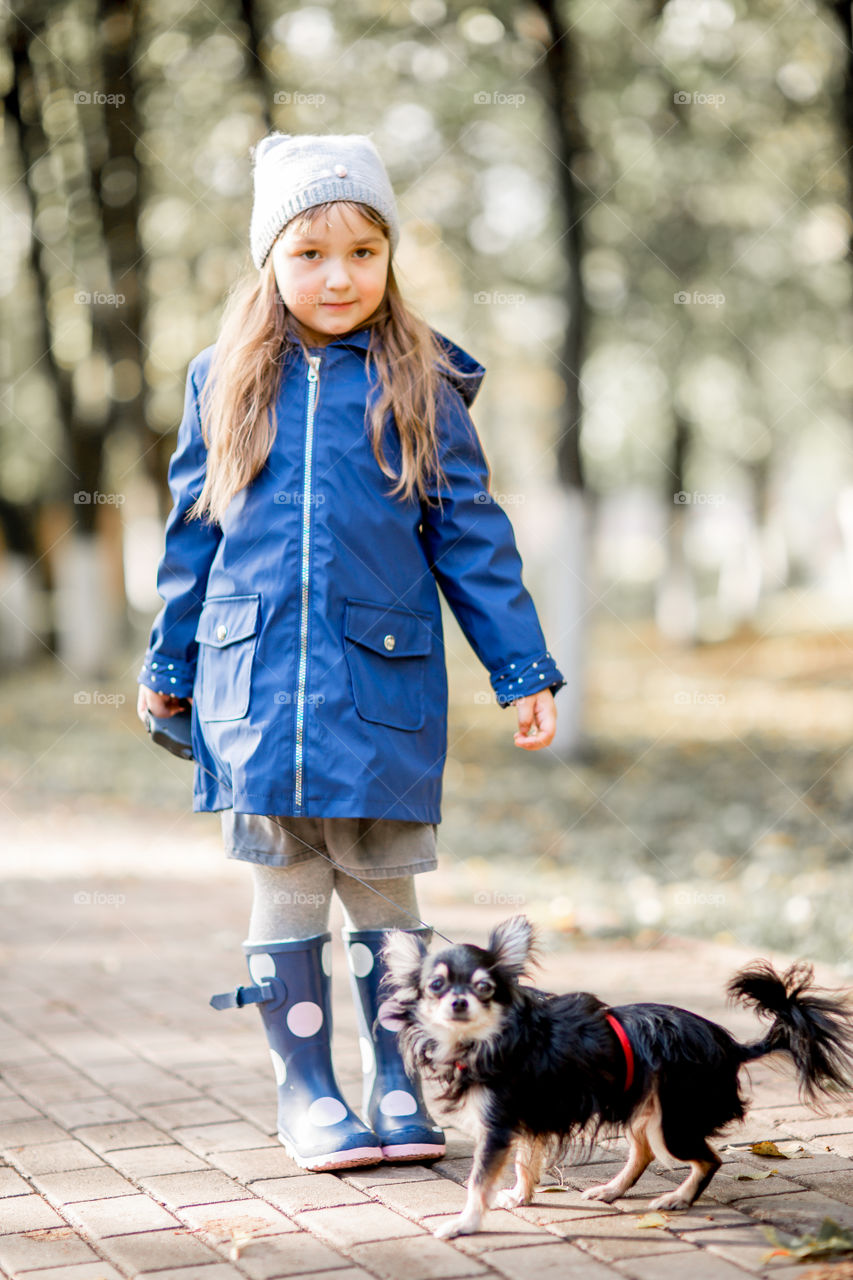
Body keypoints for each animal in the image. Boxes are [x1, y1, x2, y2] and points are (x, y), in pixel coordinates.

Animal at [381, 916, 850, 1233]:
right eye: (436, 986)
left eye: (484, 988)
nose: (459, 1003)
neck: (493, 1037)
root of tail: (730, 1046)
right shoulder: (527, 1119)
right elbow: (524, 1162)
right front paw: (521, 1195)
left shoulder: (497, 1126)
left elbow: (479, 1181)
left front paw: (465, 1224)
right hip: (644, 1109)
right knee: (643, 1154)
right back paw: (611, 1190)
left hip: (671, 1123)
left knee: (707, 1159)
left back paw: (677, 1198)